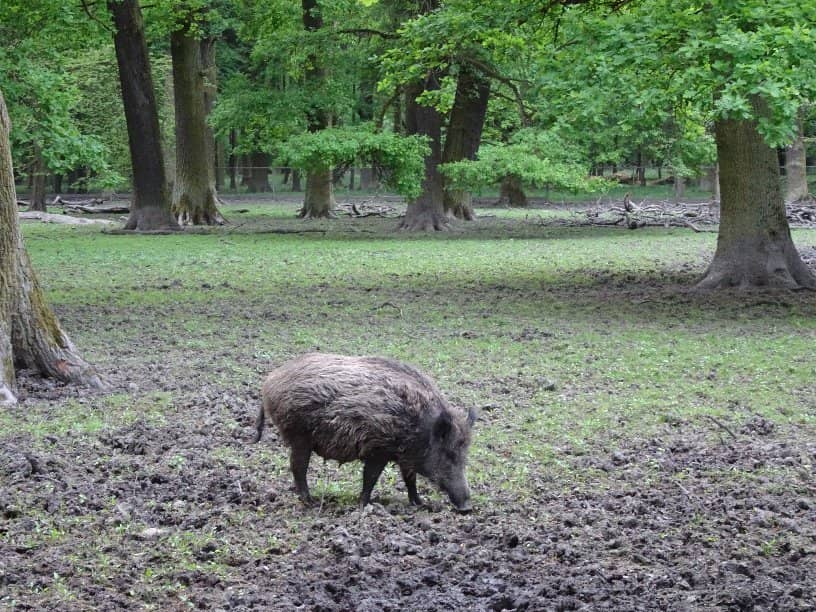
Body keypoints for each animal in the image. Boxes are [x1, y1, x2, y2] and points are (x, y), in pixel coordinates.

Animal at [255, 353, 476, 512]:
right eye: (449, 454)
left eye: (465, 455)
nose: (466, 508)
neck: (420, 427)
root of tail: (269, 382)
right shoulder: (378, 450)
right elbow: (370, 477)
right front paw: (365, 506)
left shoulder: (405, 456)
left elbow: (409, 480)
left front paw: (420, 504)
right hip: (299, 435)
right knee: (297, 467)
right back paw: (311, 502)